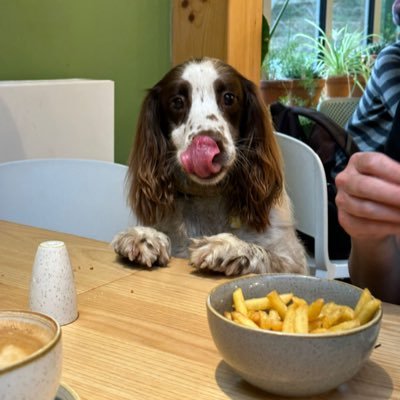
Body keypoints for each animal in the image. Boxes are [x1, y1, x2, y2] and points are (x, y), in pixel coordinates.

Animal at [112, 57, 306, 276]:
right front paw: (144, 236)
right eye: (177, 102)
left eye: (229, 98)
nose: (207, 145)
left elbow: (265, 253)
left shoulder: (294, 263)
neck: (208, 196)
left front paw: (228, 246)